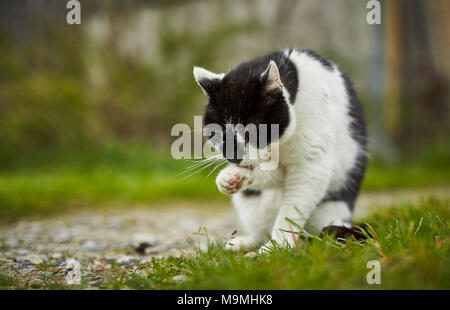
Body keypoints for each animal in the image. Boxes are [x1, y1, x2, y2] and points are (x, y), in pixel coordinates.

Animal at [192, 48, 366, 252]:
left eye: (252, 129)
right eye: (217, 131)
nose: (234, 156)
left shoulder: (312, 163)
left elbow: (291, 209)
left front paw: (276, 248)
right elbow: (268, 173)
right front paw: (230, 178)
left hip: (332, 209)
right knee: (260, 230)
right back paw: (243, 243)